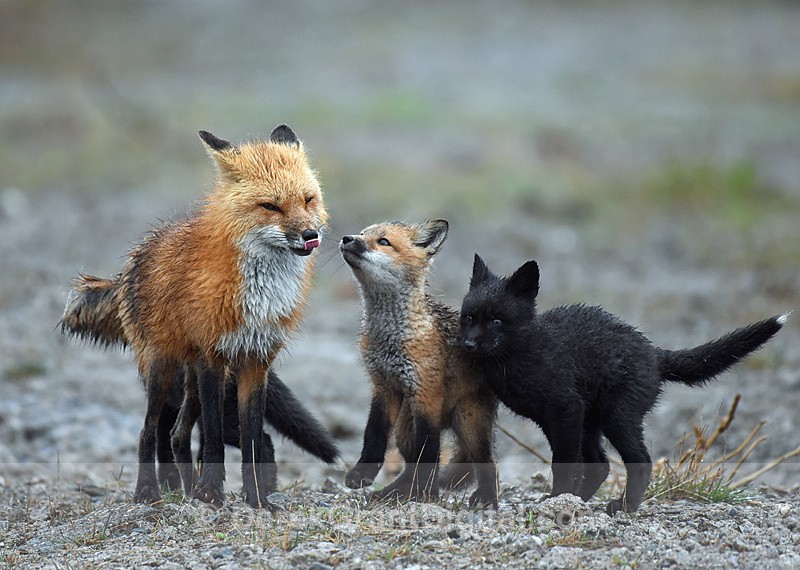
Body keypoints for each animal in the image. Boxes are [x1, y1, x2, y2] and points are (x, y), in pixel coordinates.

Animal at [61, 125, 328, 508]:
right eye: (270, 206)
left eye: (308, 200)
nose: (311, 235)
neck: (259, 292)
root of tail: (134, 259)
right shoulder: (212, 357)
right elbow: (214, 437)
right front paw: (211, 492)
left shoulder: (255, 360)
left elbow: (251, 438)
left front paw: (255, 498)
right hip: (163, 370)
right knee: (148, 431)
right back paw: (148, 492)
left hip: (190, 381)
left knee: (176, 435)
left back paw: (185, 491)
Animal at [340, 220, 499, 508]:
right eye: (362, 233)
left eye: (383, 242)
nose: (347, 238)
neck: (390, 339)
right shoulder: (383, 386)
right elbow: (373, 434)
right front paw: (362, 473)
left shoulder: (427, 393)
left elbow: (429, 451)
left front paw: (426, 495)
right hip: (405, 428)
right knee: (411, 464)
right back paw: (396, 491)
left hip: (468, 424)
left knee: (488, 462)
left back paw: (484, 497)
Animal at [460, 254, 787, 514]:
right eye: (468, 318)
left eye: (497, 321)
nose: (468, 344)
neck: (525, 352)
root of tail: (654, 354)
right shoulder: (555, 417)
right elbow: (575, 462)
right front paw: (562, 499)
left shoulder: (565, 407)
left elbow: (563, 461)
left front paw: (557, 498)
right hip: (592, 420)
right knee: (601, 464)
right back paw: (581, 502)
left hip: (617, 417)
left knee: (640, 461)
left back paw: (623, 506)